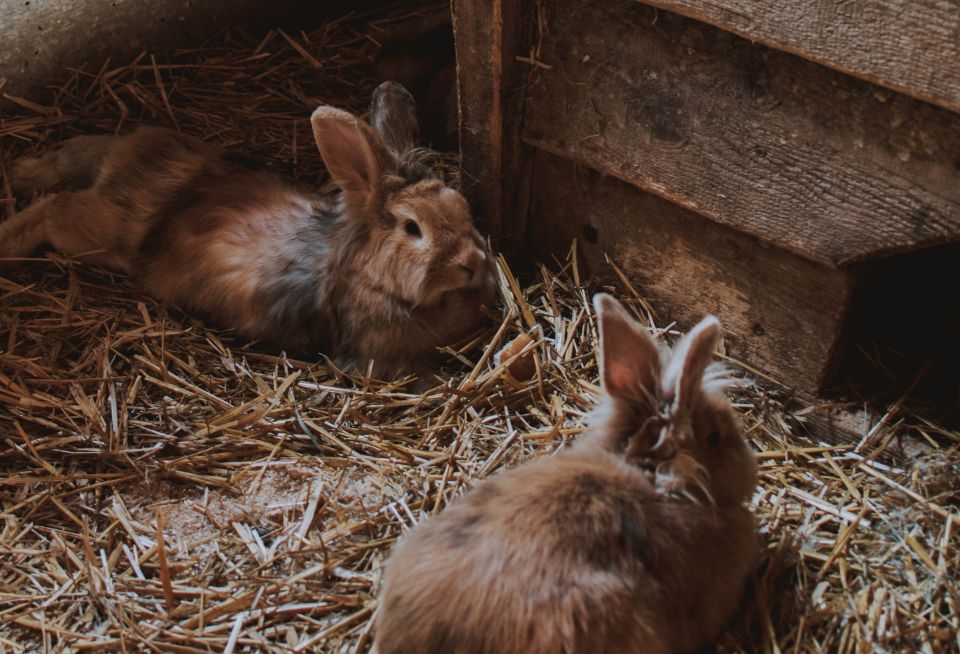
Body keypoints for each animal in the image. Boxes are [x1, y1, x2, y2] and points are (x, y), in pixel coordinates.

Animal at [0, 82, 496, 380]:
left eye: (461, 209)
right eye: (413, 228)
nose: (472, 264)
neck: (370, 277)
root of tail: (128, 159)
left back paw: (21, 173)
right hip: (98, 233)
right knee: (54, 208)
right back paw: (9, 240)